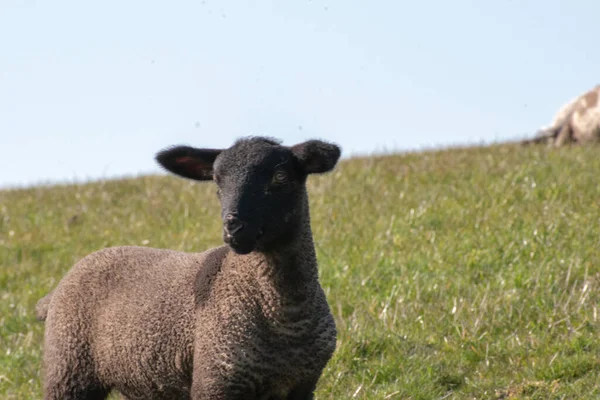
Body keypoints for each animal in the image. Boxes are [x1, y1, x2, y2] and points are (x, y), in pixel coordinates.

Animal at [35, 136, 340, 398]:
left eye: (280, 177)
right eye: (217, 181)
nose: (233, 227)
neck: (286, 316)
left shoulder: (302, 385)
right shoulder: (215, 381)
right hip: (69, 370)